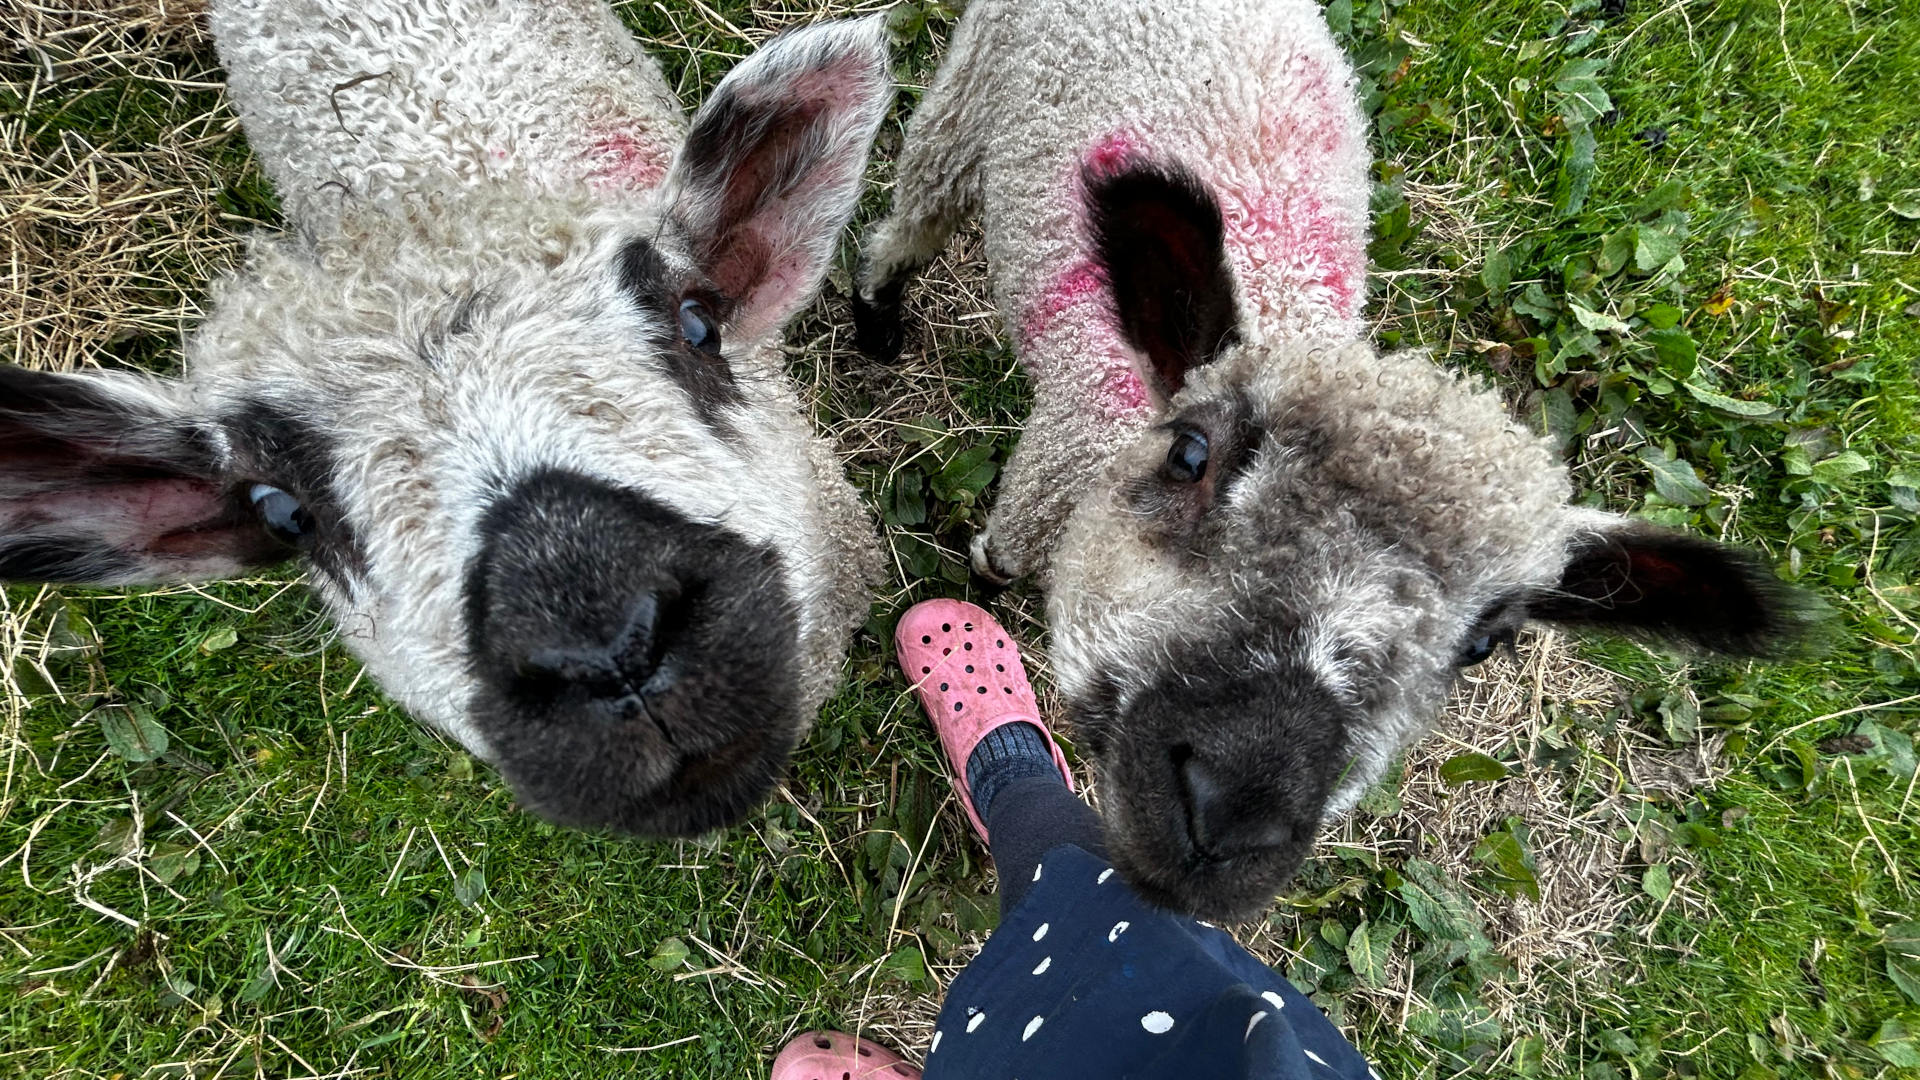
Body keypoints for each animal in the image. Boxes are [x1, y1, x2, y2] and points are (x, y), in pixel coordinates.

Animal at [854, 0, 1814, 920]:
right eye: (1192, 454)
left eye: (1487, 643)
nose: (1232, 811)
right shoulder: (1055, 460)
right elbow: (1001, 556)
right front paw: (979, 600)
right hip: (974, 85)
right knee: (915, 209)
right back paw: (877, 318)